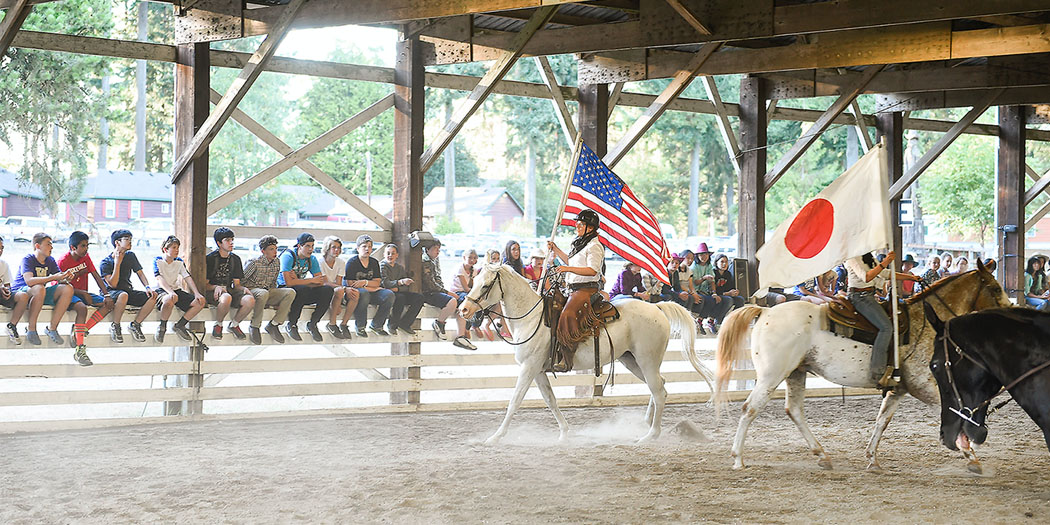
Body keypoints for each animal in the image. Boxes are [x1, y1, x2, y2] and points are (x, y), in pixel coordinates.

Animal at [459, 262, 713, 443]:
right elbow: (550, 401)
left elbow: (514, 401)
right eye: (475, 280)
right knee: (660, 386)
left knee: (659, 391)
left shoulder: (529, 368)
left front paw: (495, 437)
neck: (532, 319)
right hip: (631, 360)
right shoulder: (538, 371)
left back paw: (651, 435)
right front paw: (564, 433)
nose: (464, 309)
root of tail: (656, 307)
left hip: (647, 360)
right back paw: (646, 423)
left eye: (485, 285)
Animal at [713, 262, 1007, 472]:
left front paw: (872, 459)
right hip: (772, 375)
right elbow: (957, 412)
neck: (928, 322)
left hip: (796, 373)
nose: (1012, 308)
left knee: (794, 410)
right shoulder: (925, 385)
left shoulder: (898, 389)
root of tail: (765, 312)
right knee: (749, 409)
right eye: (994, 288)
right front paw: (973, 458)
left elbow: (882, 421)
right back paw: (738, 459)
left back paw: (822, 455)